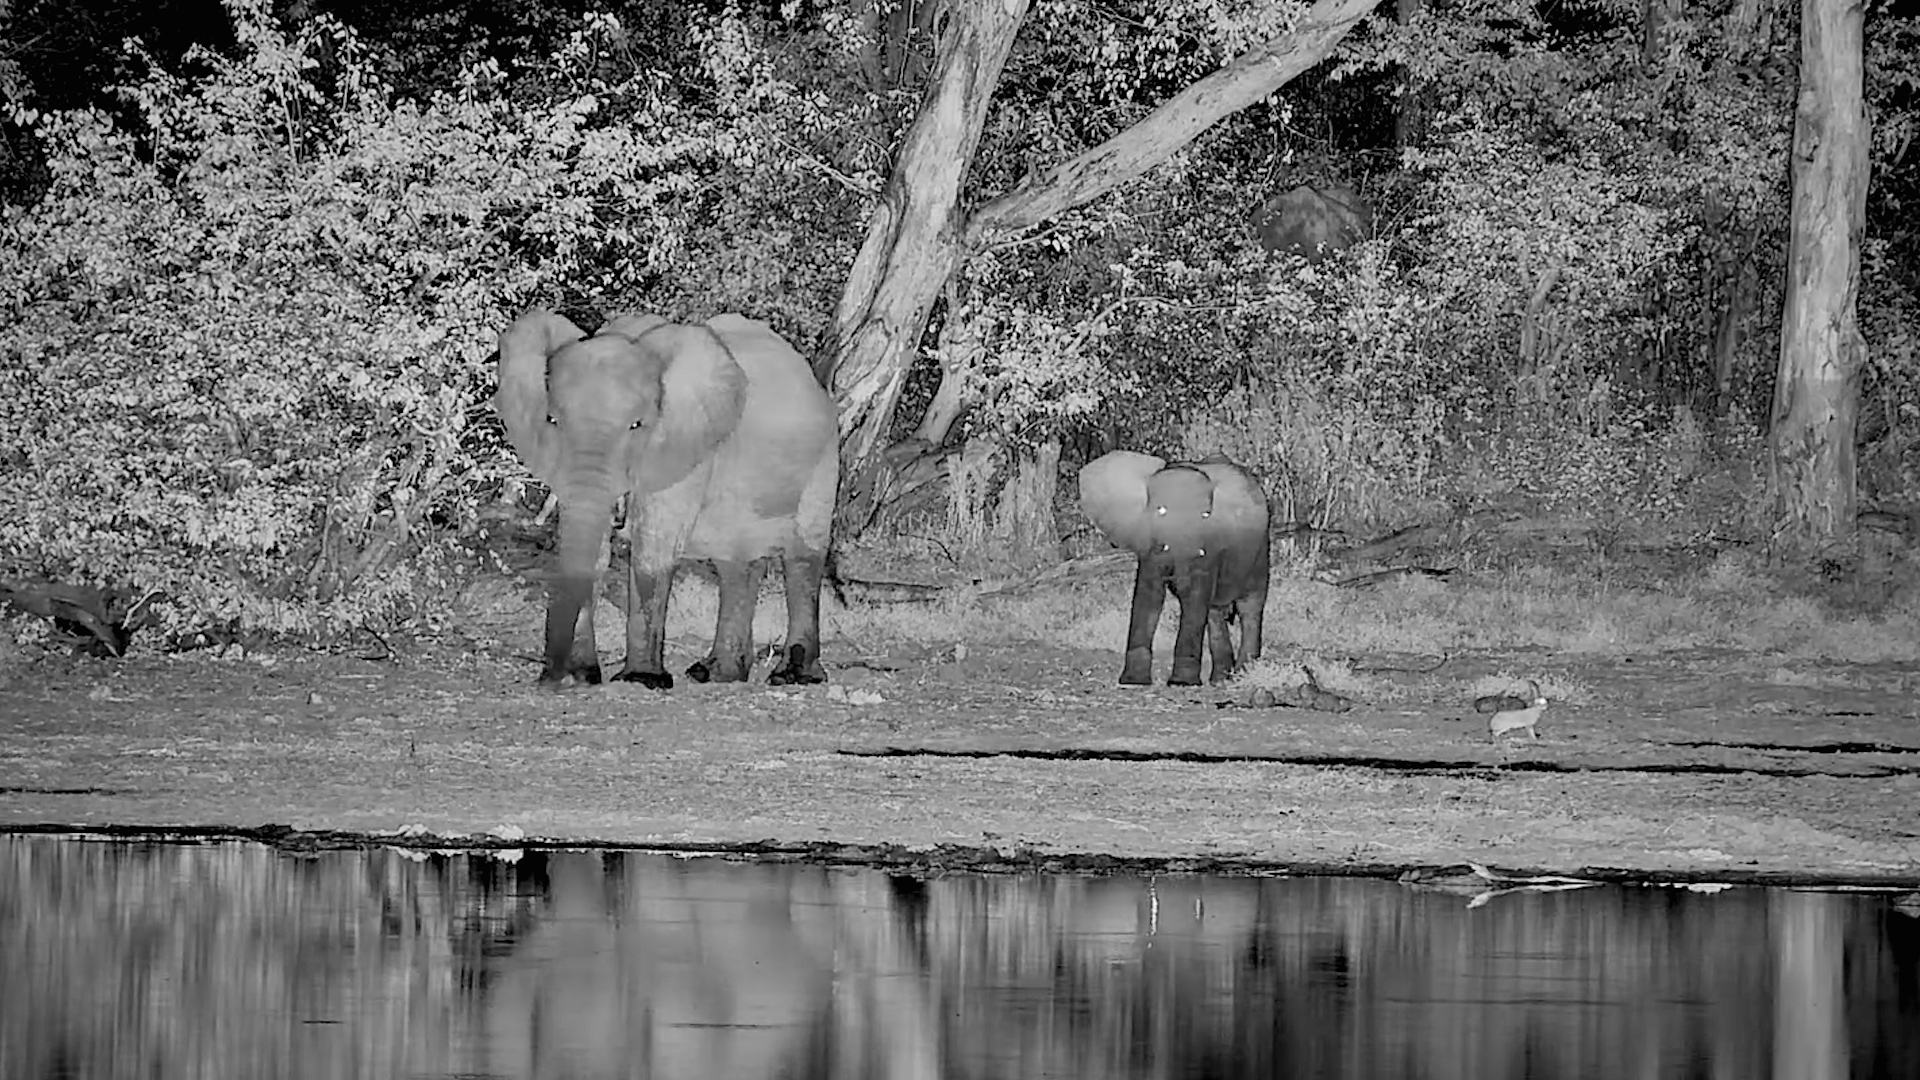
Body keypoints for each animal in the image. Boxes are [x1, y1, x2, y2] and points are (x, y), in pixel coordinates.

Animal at [495, 308, 839, 688]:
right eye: (551, 420)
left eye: (637, 425)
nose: (550, 678)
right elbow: (595, 553)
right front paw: (582, 677)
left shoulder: (682, 445)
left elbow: (654, 549)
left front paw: (640, 679)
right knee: (736, 563)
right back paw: (717, 674)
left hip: (824, 460)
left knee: (803, 556)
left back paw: (794, 676)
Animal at [1078, 450, 1270, 686]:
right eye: (1160, 511)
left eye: (1206, 515)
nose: (1176, 579)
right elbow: (1148, 592)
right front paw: (1134, 681)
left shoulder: (1210, 547)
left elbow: (1195, 596)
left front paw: (1181, 682)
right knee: (1214, 613)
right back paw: (1220, 680)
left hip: (1261, 549)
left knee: (1250, 607)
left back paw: (1242, 674)